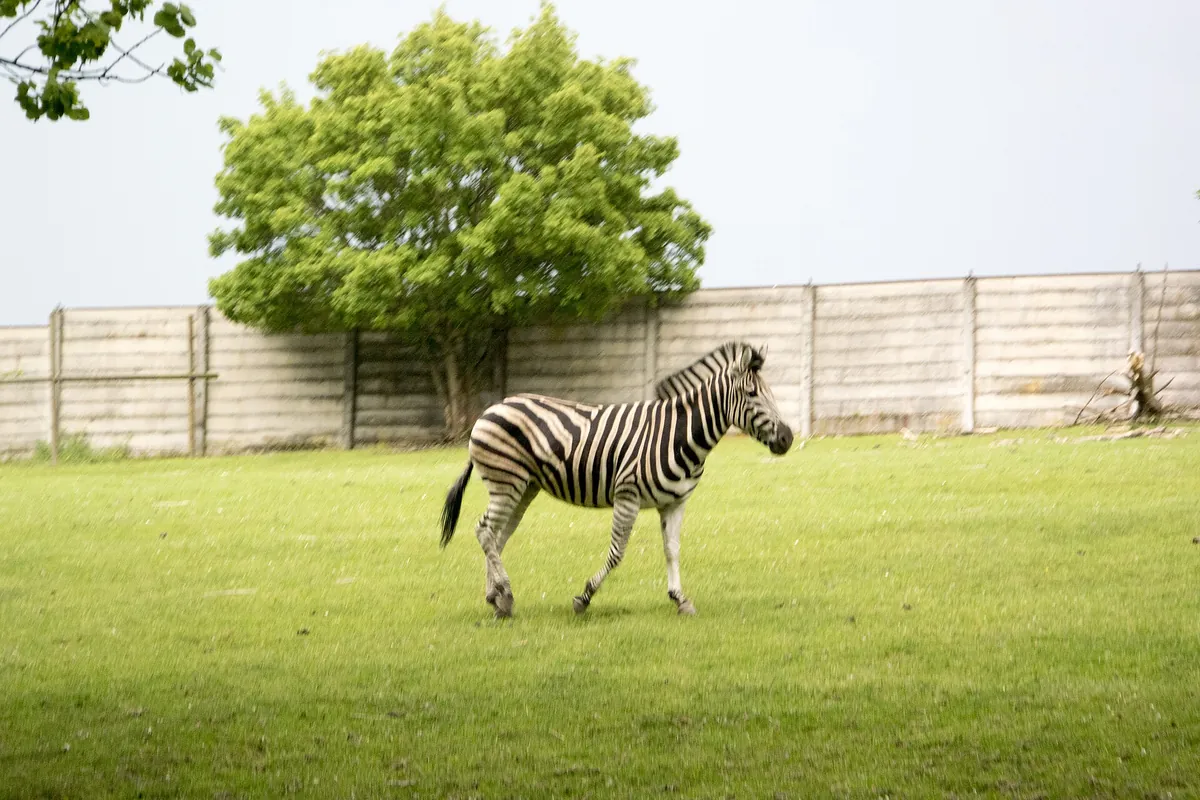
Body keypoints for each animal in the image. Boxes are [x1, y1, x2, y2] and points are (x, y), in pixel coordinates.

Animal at [439, 340, 794, 618]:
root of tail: (492, 408)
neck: (678, 434)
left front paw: (680, 599)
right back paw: (505, 593)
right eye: (752, 393)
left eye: (769, 392)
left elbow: (672, 550)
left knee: (497, 538)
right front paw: (584, 598)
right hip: (506, 484)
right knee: (484, 531)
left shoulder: (675, 503)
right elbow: (617, 553)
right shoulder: (628, 496)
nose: (788, 438)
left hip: (525, 488)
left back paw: (497, 599)